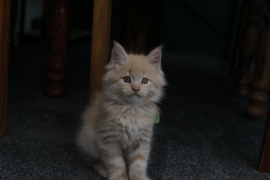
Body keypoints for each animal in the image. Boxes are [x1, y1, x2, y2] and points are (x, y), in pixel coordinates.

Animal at [75, 41, 166, 180]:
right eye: (127, 79)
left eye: (144, 81)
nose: (136, 89)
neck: (131, 110)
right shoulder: (107, 138)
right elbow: (115, 162)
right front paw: (120, 177)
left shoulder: (142, 140)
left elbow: (139, 164)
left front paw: (139, 177)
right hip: (89, 140)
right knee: (93, 160)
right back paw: (103, 169)